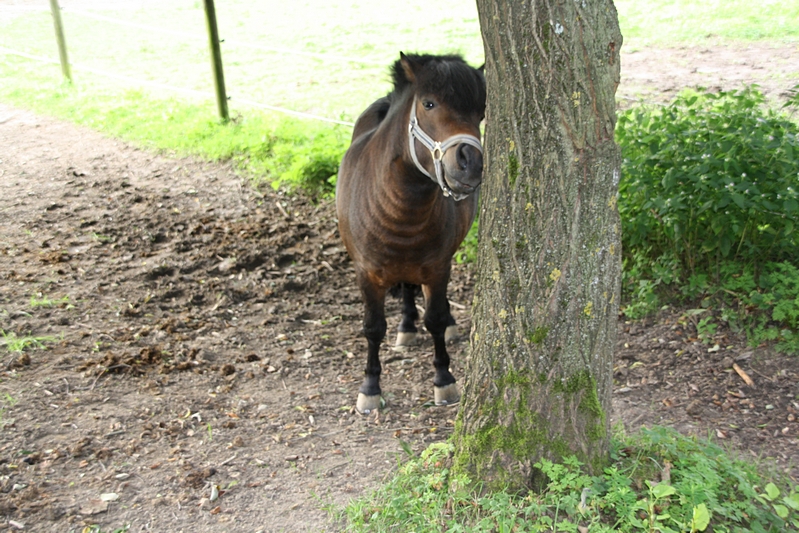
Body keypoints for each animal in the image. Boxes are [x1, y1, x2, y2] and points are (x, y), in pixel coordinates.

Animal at [334, 53, 484, 412]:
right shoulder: (366, 273)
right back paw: (406, 325)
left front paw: (444, 379)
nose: (470, 162)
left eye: (481, 112)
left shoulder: (438, 267)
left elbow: (436, 319)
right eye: (429, 104)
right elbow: (373, 328)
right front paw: (370, 387)